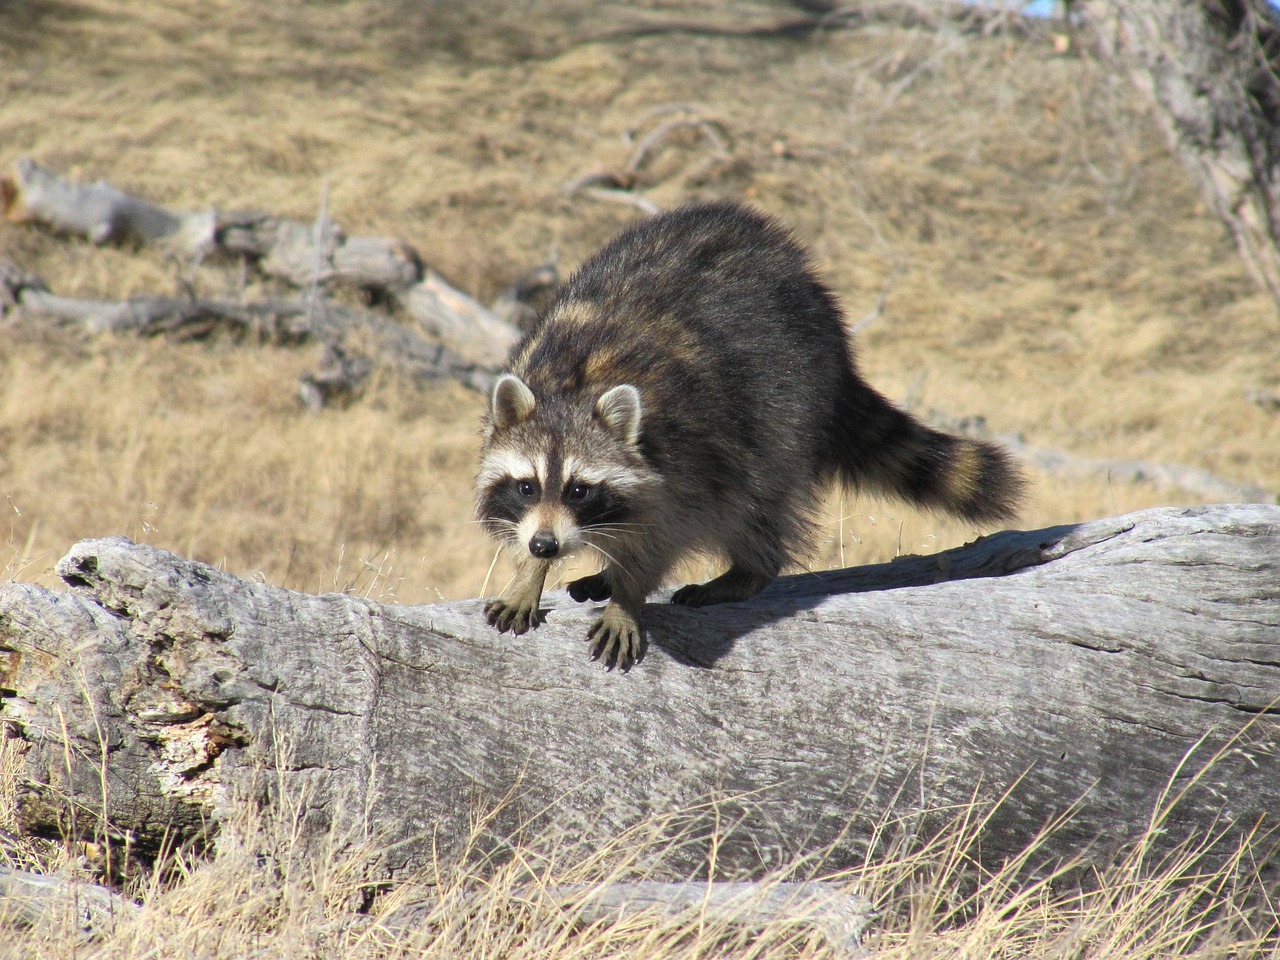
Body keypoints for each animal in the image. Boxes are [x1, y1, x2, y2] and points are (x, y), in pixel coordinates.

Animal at [476, 200, 1024, 670]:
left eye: (580, 490)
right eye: (526, 486)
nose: (546, 546)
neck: (572, 384)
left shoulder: (686, 455)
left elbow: (664, 534)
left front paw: (627, 597)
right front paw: (528, 574)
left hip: (787, 401)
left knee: (758, 500)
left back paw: (748, 570)